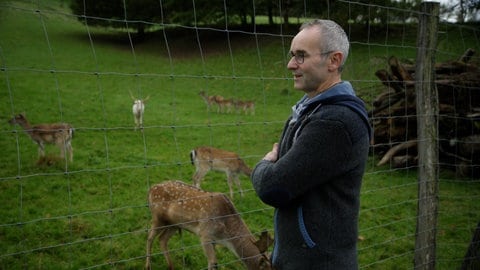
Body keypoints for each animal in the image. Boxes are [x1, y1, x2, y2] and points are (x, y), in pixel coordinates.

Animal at [145, 179, 274, 270]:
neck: (225, 236)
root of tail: (150, 189)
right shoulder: (205, 234)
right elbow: (213, 263)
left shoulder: (214, 240)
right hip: (157, 217)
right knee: (150, 237)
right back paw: (148, 266)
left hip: (174, 224)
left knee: (162, 239)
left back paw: (170, 266)